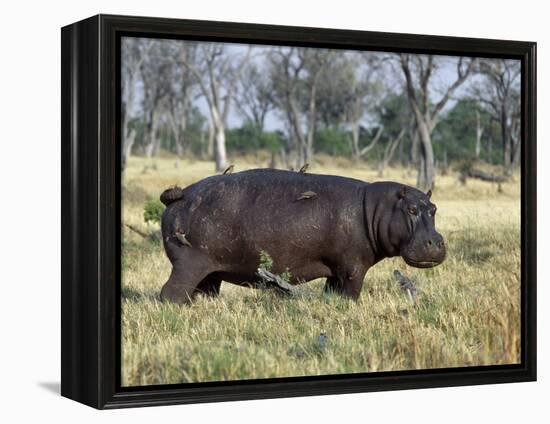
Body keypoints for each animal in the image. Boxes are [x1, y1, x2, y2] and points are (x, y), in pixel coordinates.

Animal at [157, 169, 446, 304]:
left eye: (433, 208)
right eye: (411, 209)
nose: (436, 242)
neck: (375, 209)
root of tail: (180, 194)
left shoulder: (336, 270)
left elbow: (333, 292)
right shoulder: (353, 267)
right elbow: (352, 293)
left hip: (211, 272)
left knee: (204, 292)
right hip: (189, 264)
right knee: (170, 292)